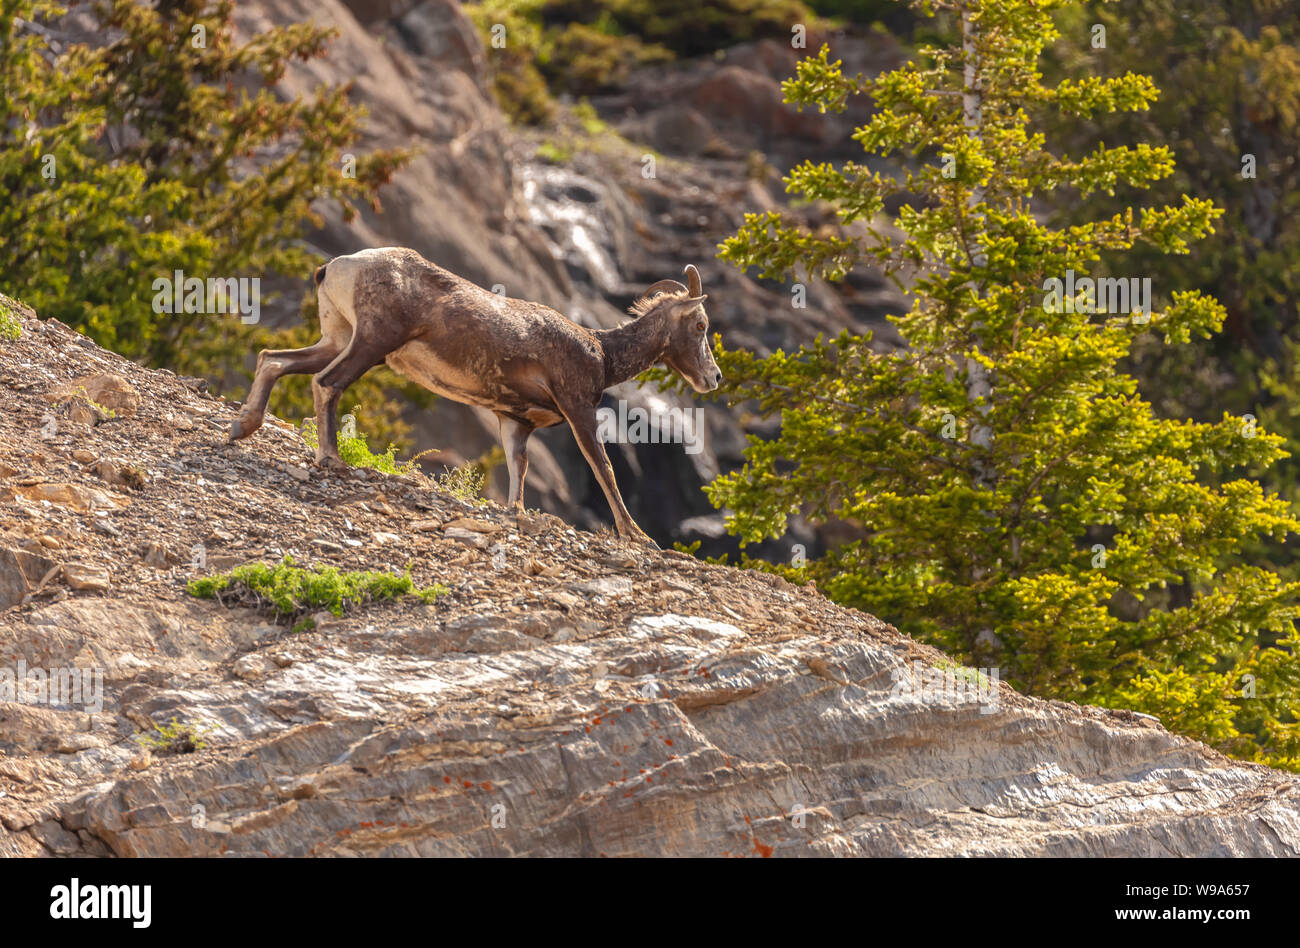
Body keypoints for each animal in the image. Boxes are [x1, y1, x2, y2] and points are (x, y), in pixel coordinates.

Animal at [232, 248, 722, 543]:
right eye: (700, 325)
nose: (713, 377)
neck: (601, 352)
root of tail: (337, 267)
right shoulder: (578, 408)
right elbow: (604, 469)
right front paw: (636, 536)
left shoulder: (515, 423)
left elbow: (518, 473)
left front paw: (518, 516)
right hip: (372, 344)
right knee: (326, 383)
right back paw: (331, 459)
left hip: (337, 337)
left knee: (273, 359)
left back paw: (242, 427)